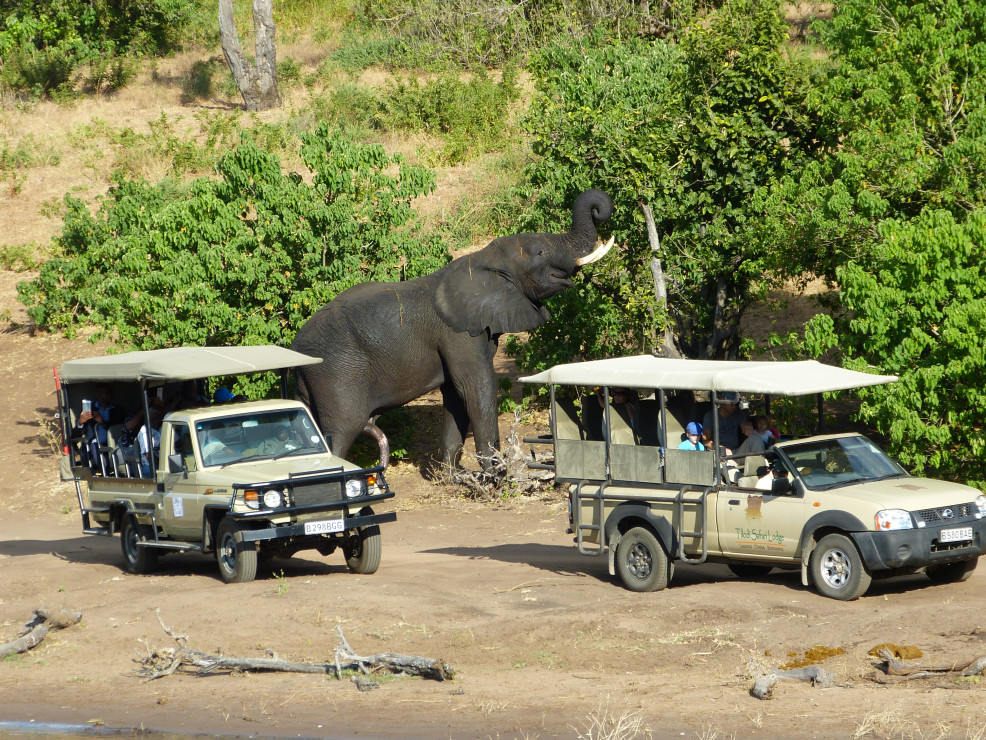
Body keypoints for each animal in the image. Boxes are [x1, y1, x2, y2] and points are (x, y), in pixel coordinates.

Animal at [290, 188, 615, 467]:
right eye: (539, 253)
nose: (599, 211)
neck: (482, 260)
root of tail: (295, 346)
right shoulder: (458, 335)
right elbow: (476, 387)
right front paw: (495, 478)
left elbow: (456, 396)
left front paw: (453, 477)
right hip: (337, 372)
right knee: (344, 429)